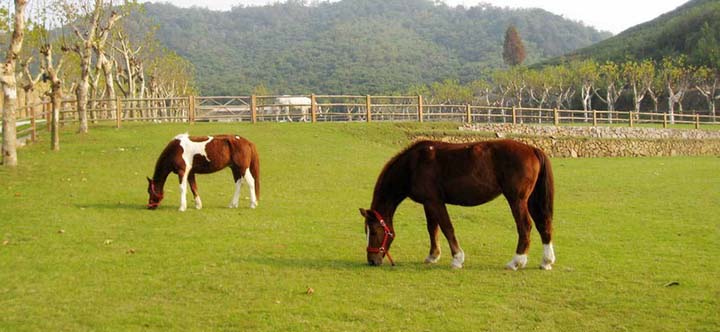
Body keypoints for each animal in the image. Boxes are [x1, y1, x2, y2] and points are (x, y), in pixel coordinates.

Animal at [360, 139, 556, 272]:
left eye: (375, 231)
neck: (413, 165)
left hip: (517, 200)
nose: (371, 260)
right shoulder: (428, 203)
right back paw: (546, 261)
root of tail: (532, 149)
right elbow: (432, 229)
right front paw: (433, 256)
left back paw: (516, 261)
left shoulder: (435, 202)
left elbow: (447, 228)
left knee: (525, 227)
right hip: (530, 200)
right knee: (543, 225)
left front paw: (457, 259)